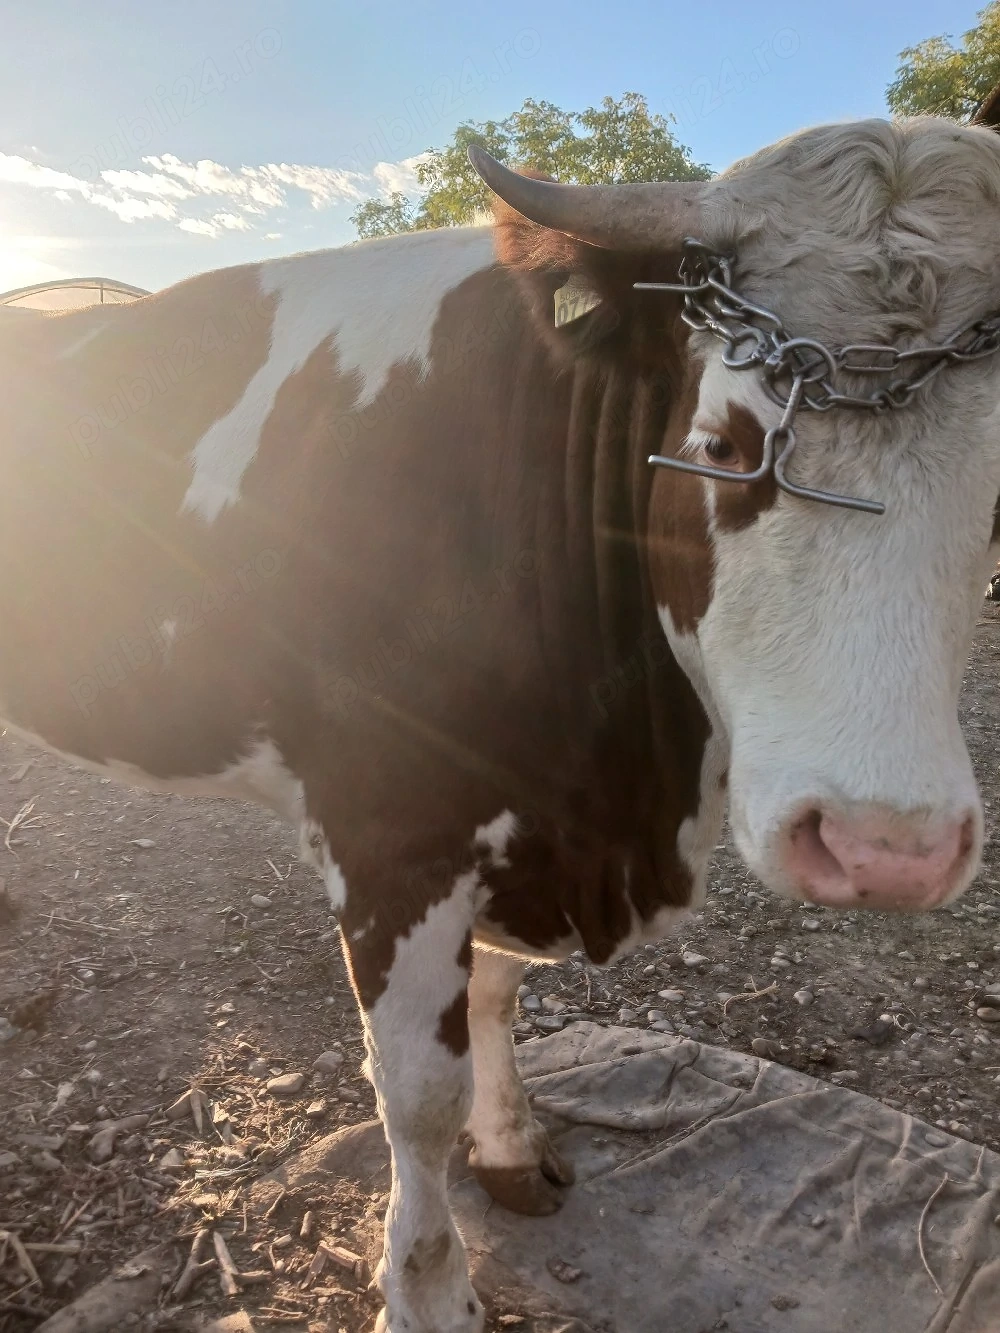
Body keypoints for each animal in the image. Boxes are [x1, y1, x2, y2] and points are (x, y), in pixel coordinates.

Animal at [2, 115, 1000, 1331]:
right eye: (722, 445)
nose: (884, 847)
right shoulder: (392, 830)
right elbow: (414, 1095)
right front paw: (426, 1289)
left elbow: (496, 990)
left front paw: (510, 1148)